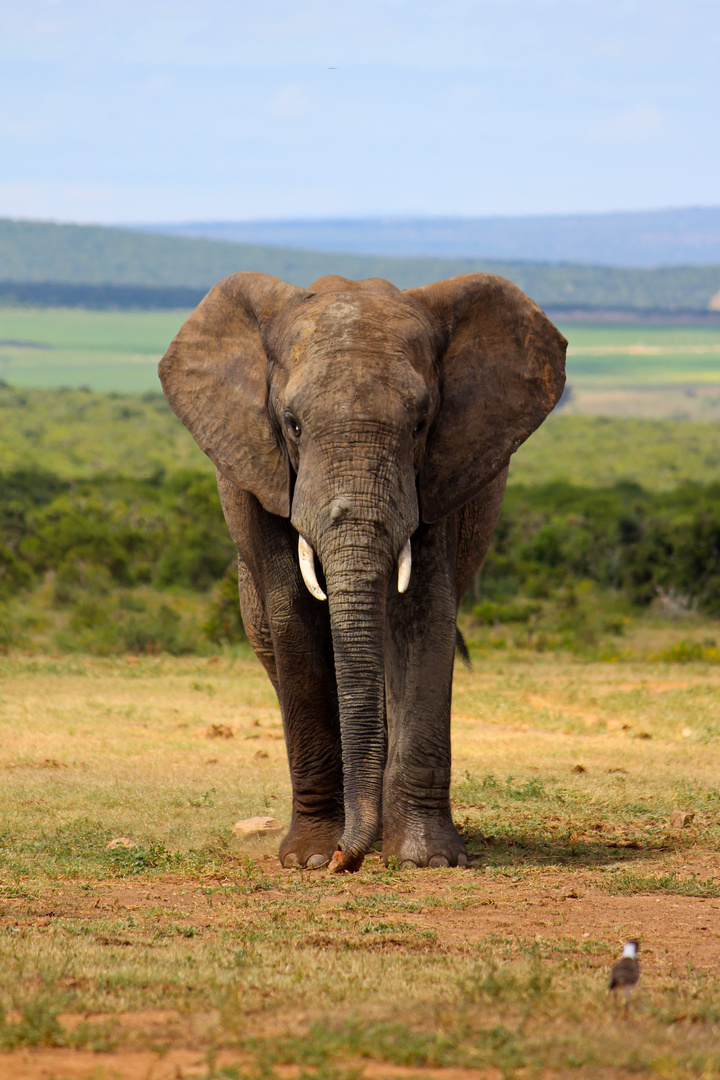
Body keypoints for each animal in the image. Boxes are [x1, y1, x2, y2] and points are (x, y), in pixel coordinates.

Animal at [159, 272, 566, 872]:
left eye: (420, 424)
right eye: (292, 425)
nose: (342, 861)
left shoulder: (438, 473)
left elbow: (423, 615)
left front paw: (425, 860)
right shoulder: (264, 472)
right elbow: (295, 616)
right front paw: (308, 858)